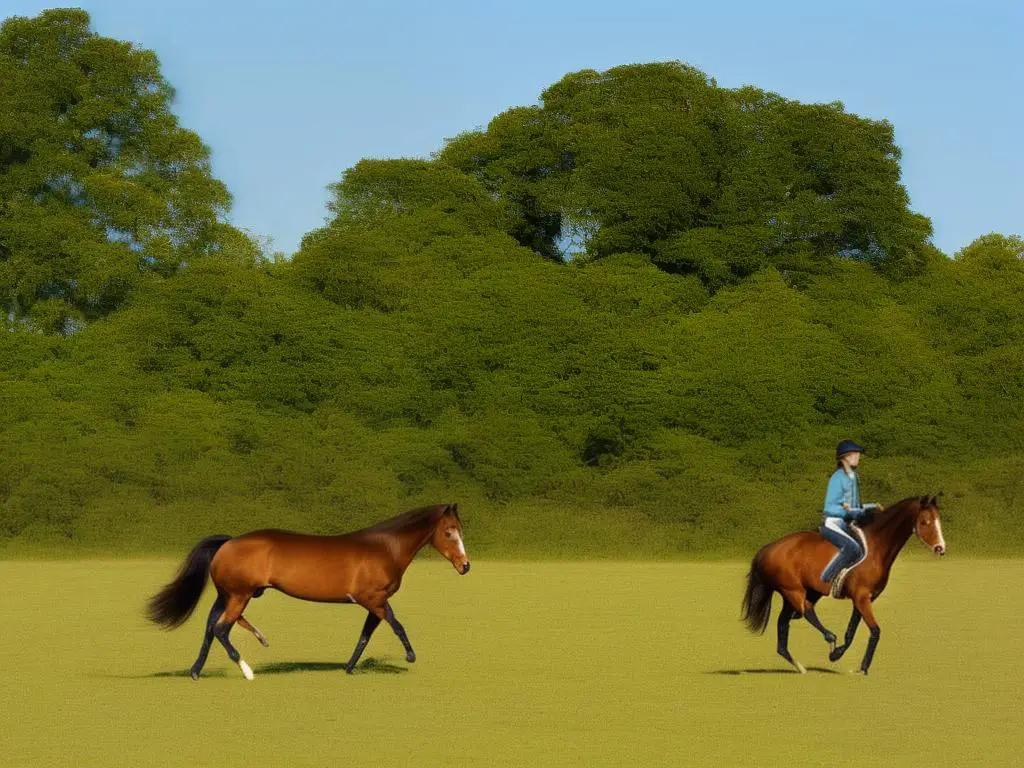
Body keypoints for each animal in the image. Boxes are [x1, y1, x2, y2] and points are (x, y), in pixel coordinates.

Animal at [146, 505, 468, 679]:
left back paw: (197, 671)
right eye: (449, 532)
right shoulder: (374, 599)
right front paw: (410, 656)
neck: (383, 549)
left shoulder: (373, 603)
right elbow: (397, 625)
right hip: (240, 595)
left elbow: (365, 635)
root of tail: (228, 542)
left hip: (228, 595)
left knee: (211, 627)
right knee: (222, 629)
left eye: (460, 530)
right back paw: (248, 670)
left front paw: (349, 668)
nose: (465, 566)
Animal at [745, 499, 942, 671]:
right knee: (805, 611)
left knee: (785, 622)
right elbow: (875, 630)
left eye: (938, 520)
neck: (875, 547)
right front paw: (856, 665)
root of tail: (768, 548)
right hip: (793, 590)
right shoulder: (861, 598)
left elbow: (852, 630)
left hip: (801, 593)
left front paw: (843, 655)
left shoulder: (865, 598)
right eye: (925, 522)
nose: (941, 548)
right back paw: (830, 638)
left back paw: (800, 666)